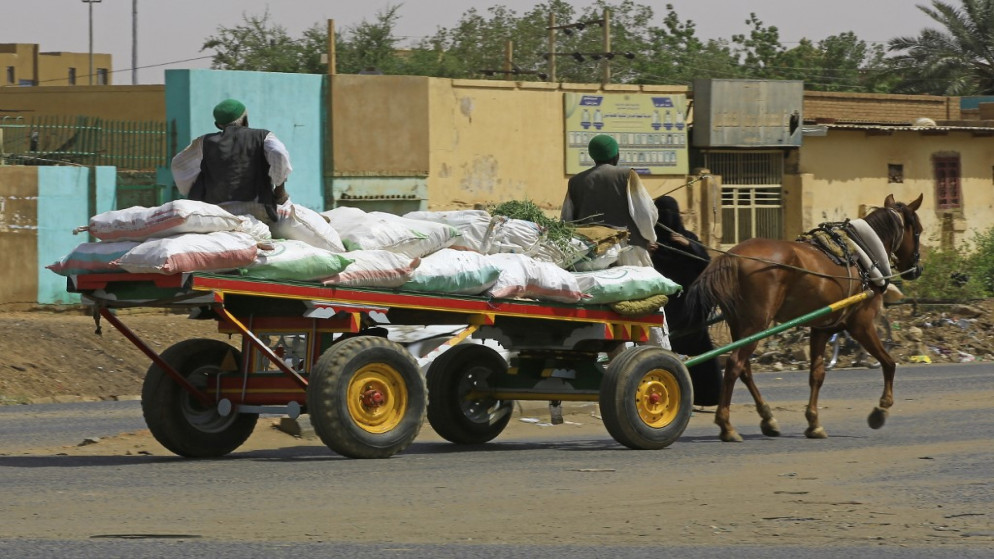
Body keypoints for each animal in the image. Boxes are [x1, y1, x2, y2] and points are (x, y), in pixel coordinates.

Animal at [680, 195, 924, 444]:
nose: (917, 269)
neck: (862, 254)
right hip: (756, 324)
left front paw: (814, 423)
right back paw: (726, 425)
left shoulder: (823, 328)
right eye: (918, 231)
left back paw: (767, 417)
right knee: (734, 364)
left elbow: (817, 375)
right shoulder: (861, 325)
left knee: (744, 369)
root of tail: (733, 256)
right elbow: (889, 363)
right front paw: (881, 409)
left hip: (740, 325)